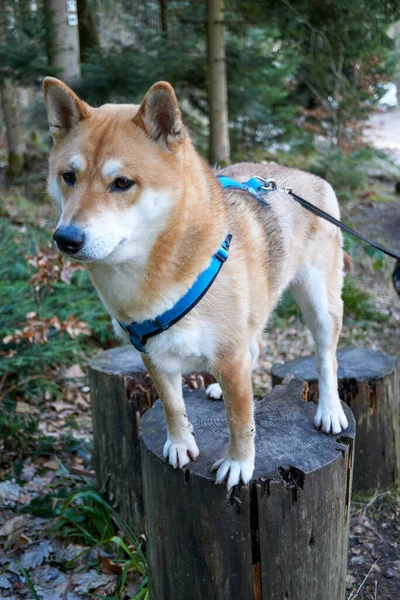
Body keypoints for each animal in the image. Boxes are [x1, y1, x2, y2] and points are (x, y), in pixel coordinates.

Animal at [45, 77, 348, 490]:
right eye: (69, 176)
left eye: (122, 183)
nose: (66, 239)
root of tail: (308, 178)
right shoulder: (153, 353)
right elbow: (173, 405)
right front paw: (179, 443)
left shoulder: (229, 355)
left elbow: (241, 420)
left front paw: (239, 462)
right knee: (254, 348)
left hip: (319, 304)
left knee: (325, 358)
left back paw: (329, 409)